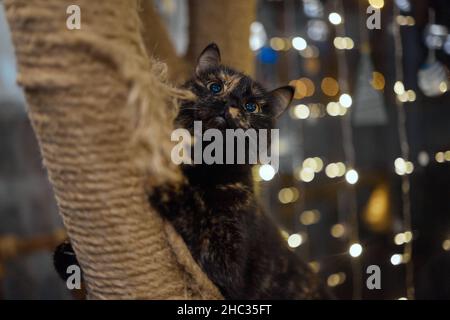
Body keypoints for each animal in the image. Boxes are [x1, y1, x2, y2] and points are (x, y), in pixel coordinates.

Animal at [54, 43, 328, 300]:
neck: (203, 164)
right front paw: (67, 254)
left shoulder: (225, 262)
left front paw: (168, 186)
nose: (230, 103)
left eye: (252, 107)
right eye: (215, 87)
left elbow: (193, 212)